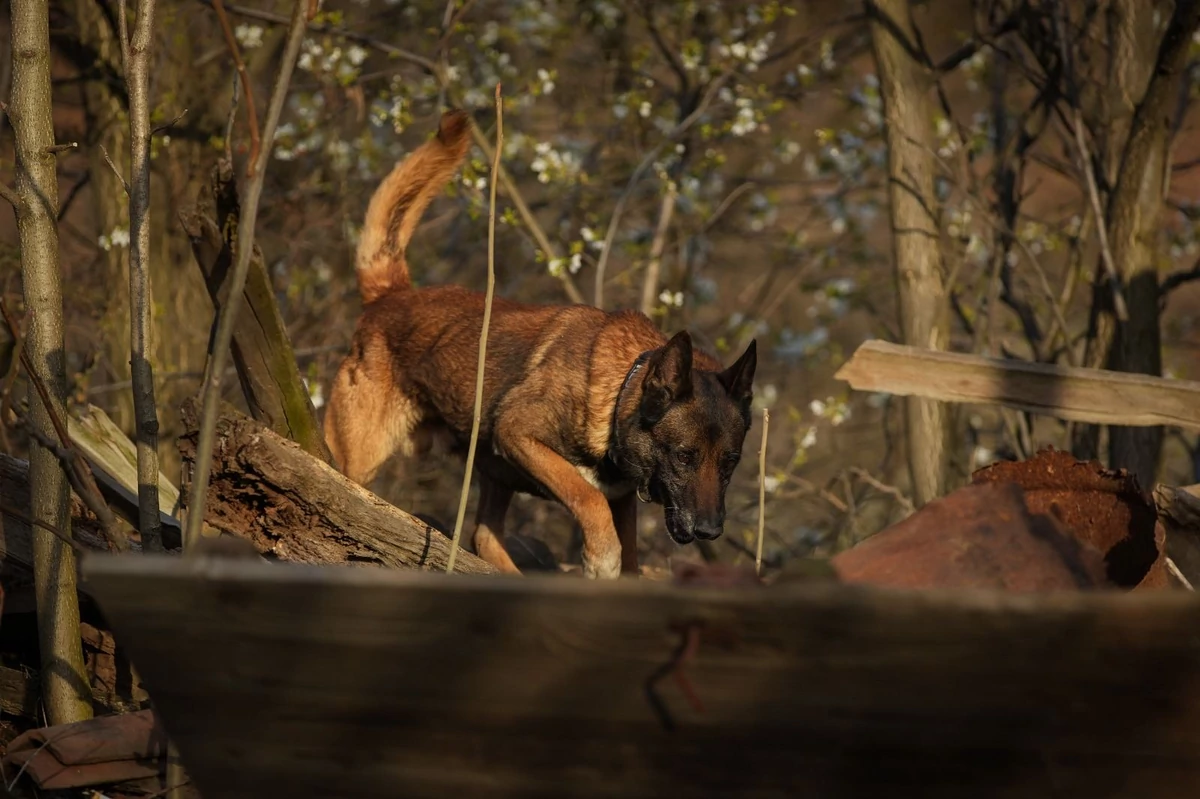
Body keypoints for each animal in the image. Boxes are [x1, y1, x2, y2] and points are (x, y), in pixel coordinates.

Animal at [324, 109, 753, 575]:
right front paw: (601, 558)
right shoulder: (520, 435)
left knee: (483, 535)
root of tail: (390, 294)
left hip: (491, 476)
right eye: (684, 456)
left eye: (730, 463)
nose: (710, 531)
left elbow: (628, 549)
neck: (620, 390)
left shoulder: (621, 499)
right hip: (361, 458)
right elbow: (588, 496)